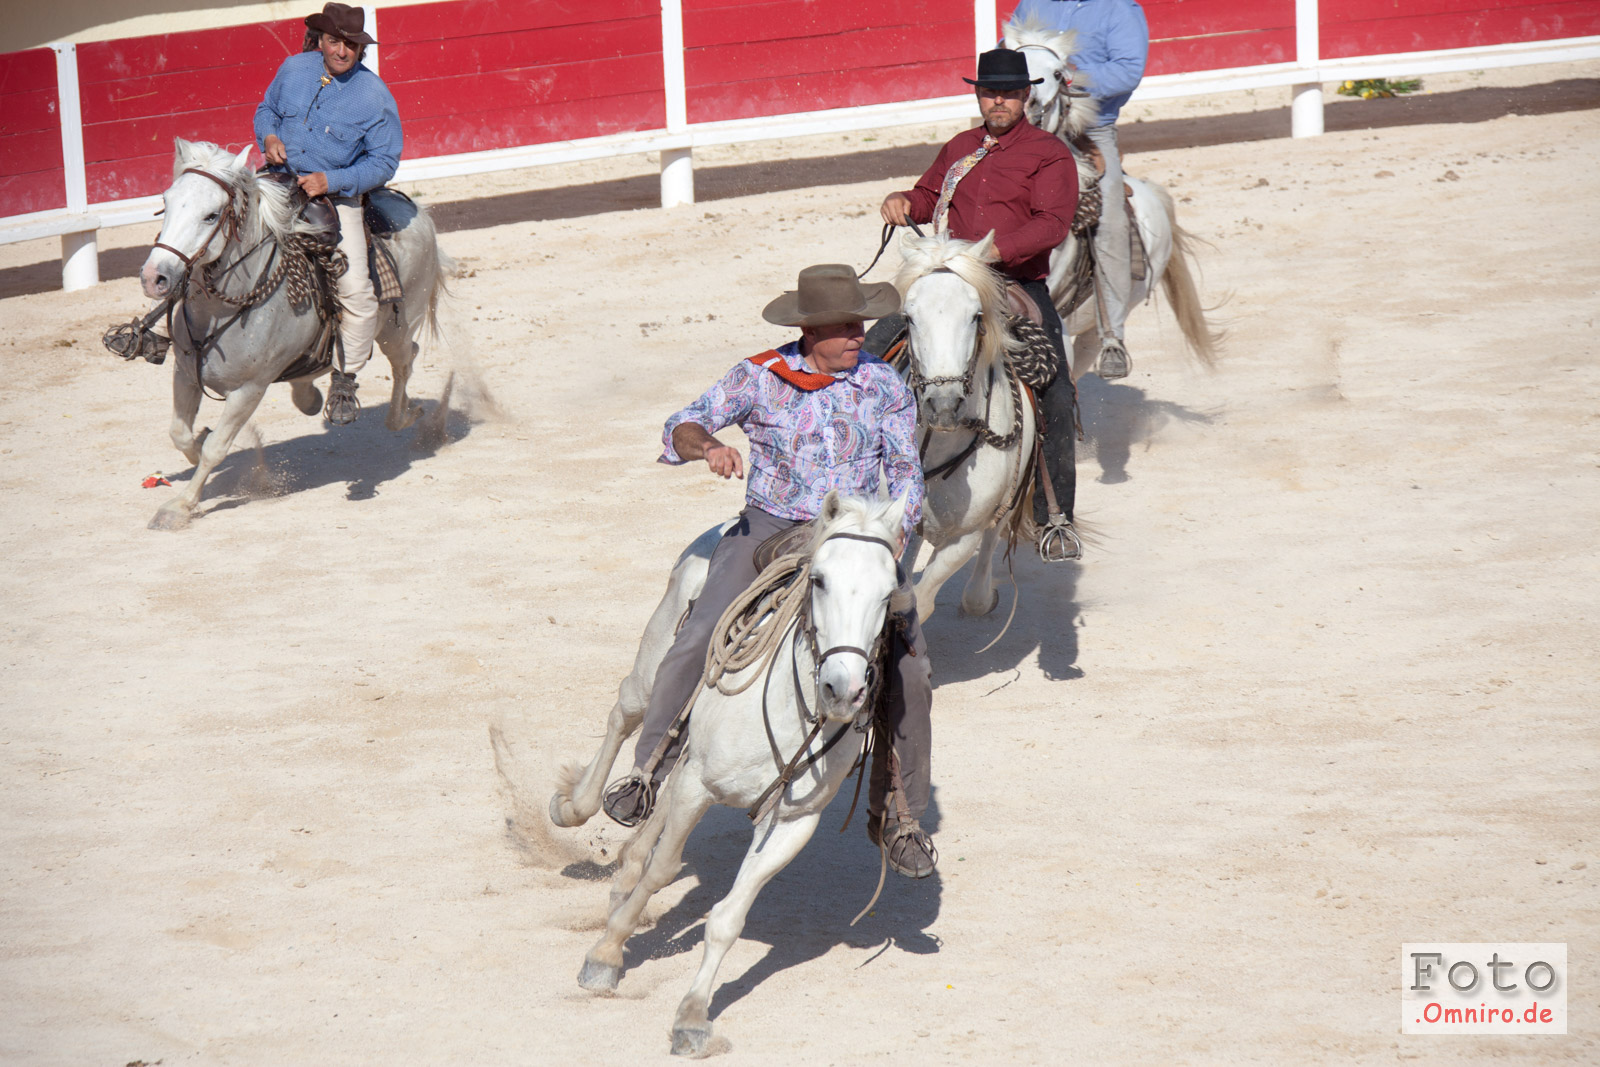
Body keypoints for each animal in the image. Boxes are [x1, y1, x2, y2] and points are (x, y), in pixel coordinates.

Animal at [136, 138, 451, 530]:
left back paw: (405, 413)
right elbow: (180, 435)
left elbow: (216, 449)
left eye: (211, 215)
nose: (154, 277)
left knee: (405, 363)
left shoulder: (249, 390)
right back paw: (313, 394)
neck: (223, 310)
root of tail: (416, 210)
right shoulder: (185, 373)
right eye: (166, 204)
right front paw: (196, 445)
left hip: (396, 327)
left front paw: (179, 506)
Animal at [565, 492, 912, 1056]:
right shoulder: (697, 786)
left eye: (890, 592)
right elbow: (664, 869)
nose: (843, 689)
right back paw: (574, 806)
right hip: (654, 669)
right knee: (625, 718)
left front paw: (692, 1015)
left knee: (653, 805)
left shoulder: (790, 825)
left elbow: (728, 918)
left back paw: (623, 876)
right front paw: (607, 954)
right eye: (819, 580)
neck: (793, 710)